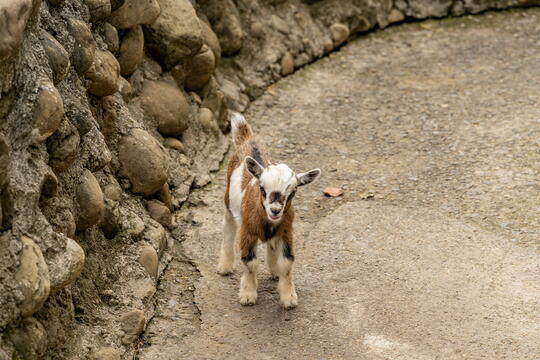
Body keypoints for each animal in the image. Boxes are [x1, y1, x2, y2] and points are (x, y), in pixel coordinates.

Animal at [217, 113, 320, 310]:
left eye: (293, 192)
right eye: (262, 188)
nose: (275, 210)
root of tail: (248, 139)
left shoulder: (286, 232)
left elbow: (287, 262)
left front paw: (289, 297)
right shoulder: (247, 232)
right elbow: (250, 262)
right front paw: (248, 295)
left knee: (271, 245)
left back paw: (273, 269)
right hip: (228, 204)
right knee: (228, 229)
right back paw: (224, 266)